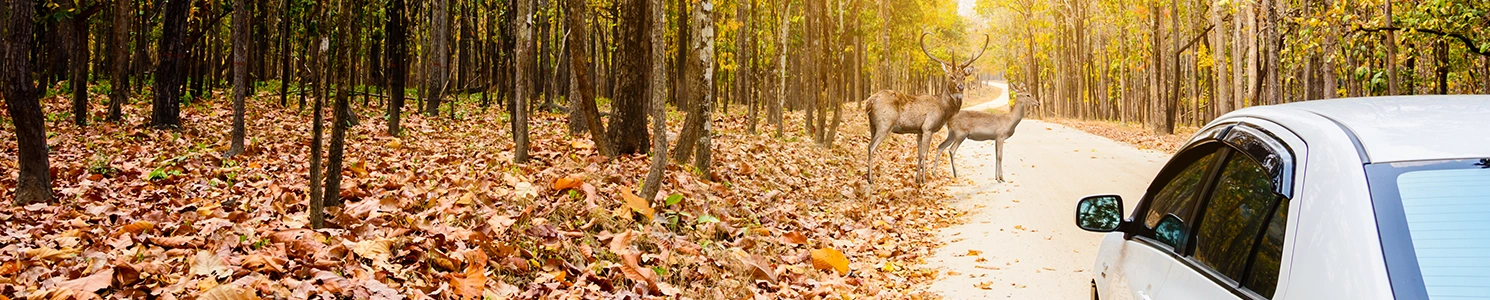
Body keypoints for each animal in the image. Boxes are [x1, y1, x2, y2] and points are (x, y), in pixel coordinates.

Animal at [864, 33, 989, 187]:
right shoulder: (928, 127)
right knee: (871, 146)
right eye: (952, 77)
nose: (960, 87)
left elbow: (918, 154)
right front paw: (924, 181)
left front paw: (917, 179)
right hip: (885, 123)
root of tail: (869, 102)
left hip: (872, 125)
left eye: (964, 77)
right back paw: (871, 179)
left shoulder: (919, 130)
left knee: (869, 144)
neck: (943, 108)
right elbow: (925, 153)